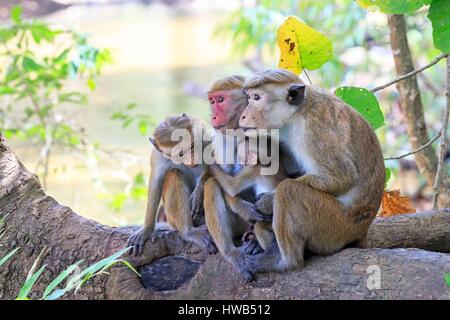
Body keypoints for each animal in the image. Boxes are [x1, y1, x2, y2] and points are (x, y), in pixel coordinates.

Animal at [126, 114, 218, 256]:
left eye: (192, 146)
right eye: (181, 153)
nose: (192, 158)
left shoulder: (203, 135)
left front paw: (198, 192)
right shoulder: (158, 156)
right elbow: (156, 183)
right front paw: (146, 229)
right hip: (171, 219)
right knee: (173, 174)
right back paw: (188, 231)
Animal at [239, 69, 386, 276]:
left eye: (257, 98)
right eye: (250, 97)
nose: (243, 115)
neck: (298, 112)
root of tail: (361, 232)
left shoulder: (314, 131)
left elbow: (342, 177)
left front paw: (268, 201)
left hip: (333, 226)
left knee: (289, 191)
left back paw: (286, 262)